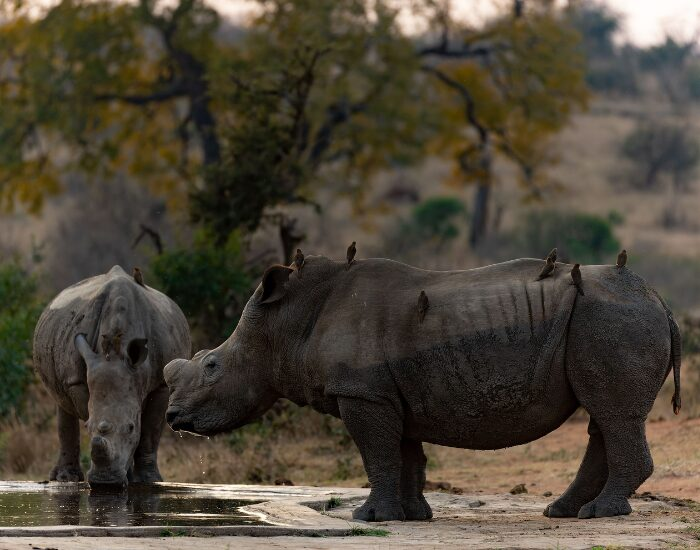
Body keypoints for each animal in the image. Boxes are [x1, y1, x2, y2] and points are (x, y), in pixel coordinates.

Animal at [34, 266, 190, 487]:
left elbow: (149, 430)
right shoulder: (79, 380)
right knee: (62, 402)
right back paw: (65, 479)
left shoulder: (161, 385)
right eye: (88, 426)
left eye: (131, 428)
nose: (105, 482)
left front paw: (148, 480)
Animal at [163, 257, 681, 521]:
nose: (172, 418)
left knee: (612, 415)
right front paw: (413, 516)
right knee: (604, 418)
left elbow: (377, 454)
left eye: (212, 366)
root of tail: (660, 300)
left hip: (611, 319)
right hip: (607, 320)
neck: (286, 324)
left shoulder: (362, 392)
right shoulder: (389, 392)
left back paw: (601, 514)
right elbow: (405, 455)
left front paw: (368, 518)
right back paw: (565, 511)